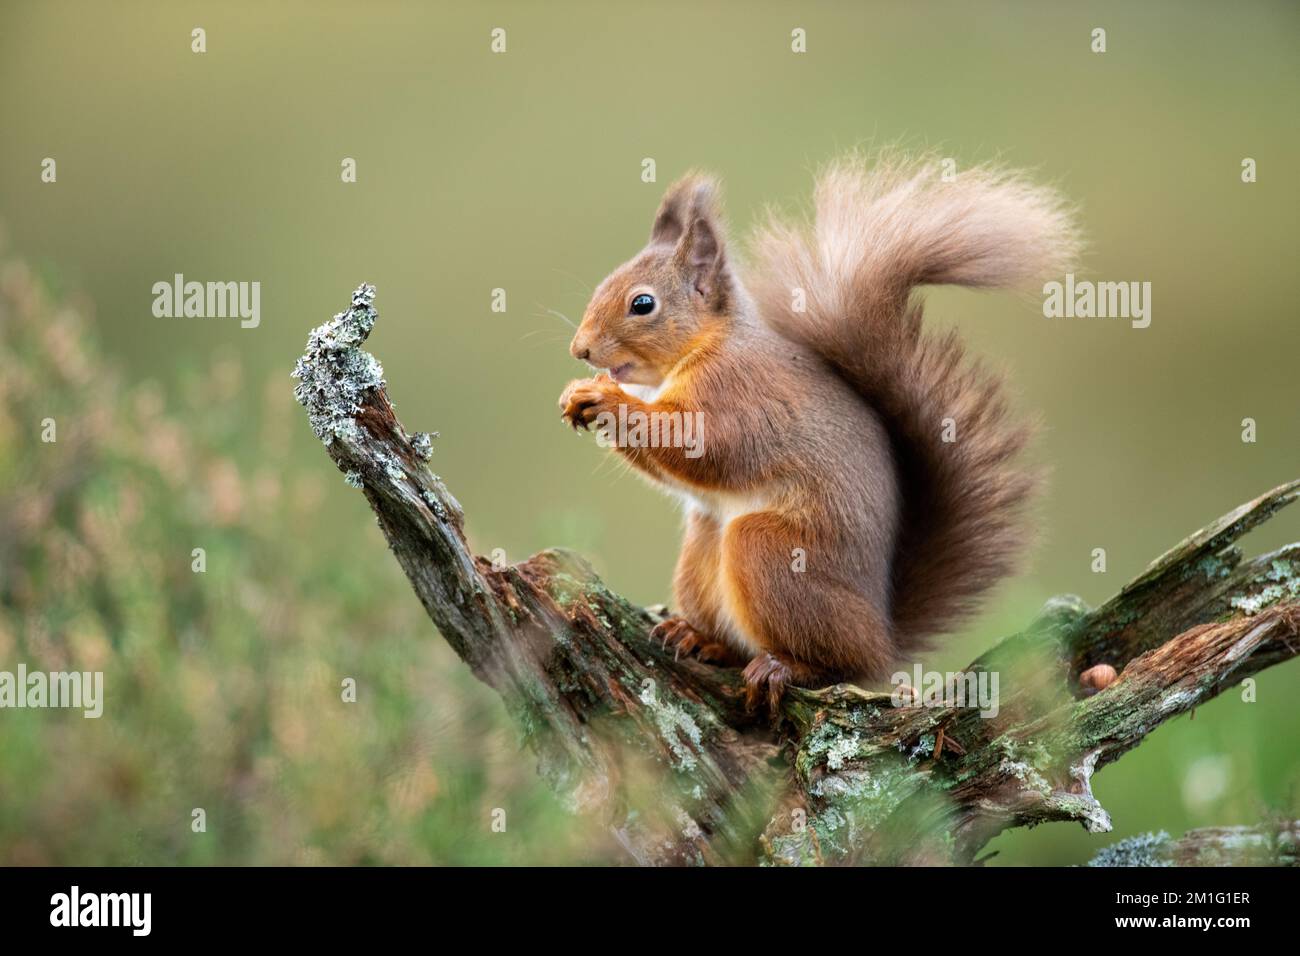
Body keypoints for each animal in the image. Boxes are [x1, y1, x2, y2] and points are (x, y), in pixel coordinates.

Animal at [558, 154, 1078, 709]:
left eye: (642, 304)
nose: (580, 349)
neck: (706, 346)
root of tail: (883, 639)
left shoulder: (740, 395)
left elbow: (706, 449)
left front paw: (605, 400)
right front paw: (577, 396)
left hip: (772, 553)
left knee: (836, 661)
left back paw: (786, 666)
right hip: (702, 548)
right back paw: (700, 637)